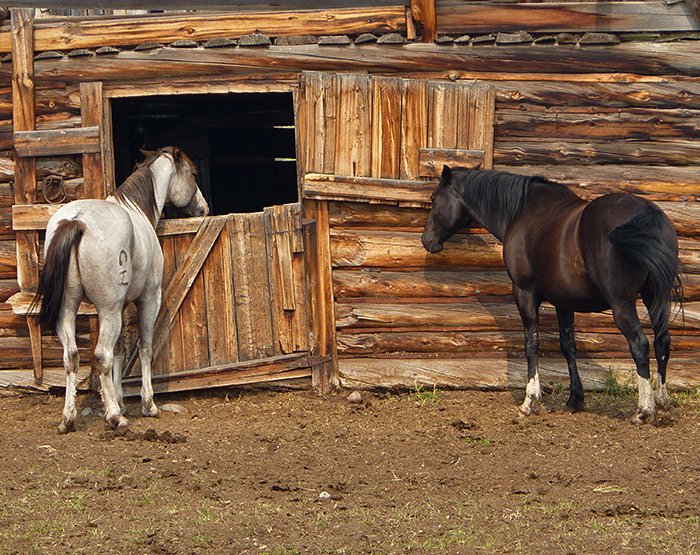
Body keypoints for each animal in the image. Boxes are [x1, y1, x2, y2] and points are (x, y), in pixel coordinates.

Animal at [32, 148, 208, 434]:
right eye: (193, 173)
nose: (203, 208)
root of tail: (76, 221)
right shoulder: (147, 299)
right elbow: (144, 347)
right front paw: (147, 405)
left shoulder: (122, 306)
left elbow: (119, 352)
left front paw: (119, 400)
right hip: (108, 309)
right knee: (101, 355)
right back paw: (115, 418)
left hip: (69, 308)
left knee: (72, 357)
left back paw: (69, 419)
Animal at [422, 166, 684, 426]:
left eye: (433, 199)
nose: (427, 240)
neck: (521, 211)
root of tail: (648, 214)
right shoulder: (564, 302)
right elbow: (568, 345)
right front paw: (575, 399)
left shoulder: (524, 293)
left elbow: (531, 344)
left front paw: (530, 401)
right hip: (655, 297)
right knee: (662, 340)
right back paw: (662, 399)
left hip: (623, 303)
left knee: (640, 344)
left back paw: (644, 410)